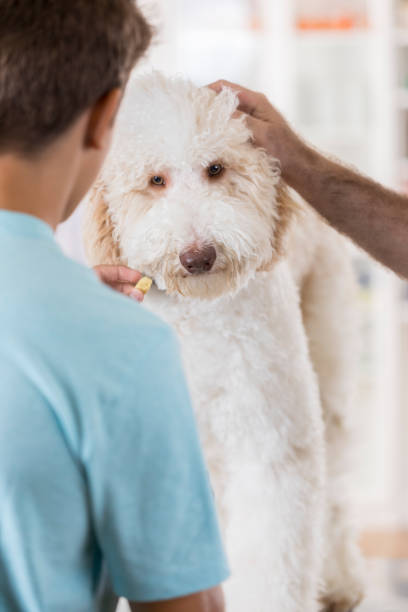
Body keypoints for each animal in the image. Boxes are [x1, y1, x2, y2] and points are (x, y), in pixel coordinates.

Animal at [84, 73, 364, 612]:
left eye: (215, 168)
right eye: (156, 180)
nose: (198, 255)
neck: (197, 317)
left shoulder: (270, 446)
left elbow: (272, 560)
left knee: (338, 489)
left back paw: (340, 580)